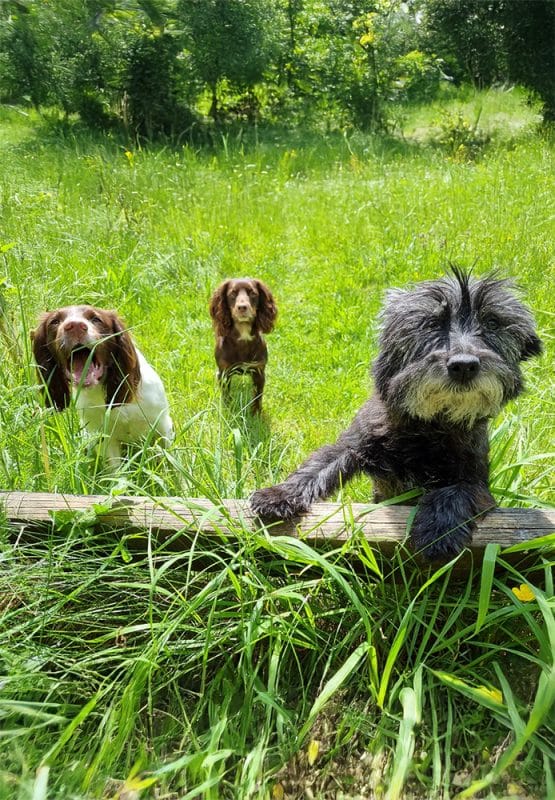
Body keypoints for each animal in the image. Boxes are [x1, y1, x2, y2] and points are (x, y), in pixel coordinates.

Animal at [251, 266, 544, 560]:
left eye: (493, 323)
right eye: (430, 324)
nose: (464, 365)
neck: (429, 426)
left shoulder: (477, 482)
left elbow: (457, 490)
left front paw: (439, 528)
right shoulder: (353, 445)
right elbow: (317, 465)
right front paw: (277, 495)